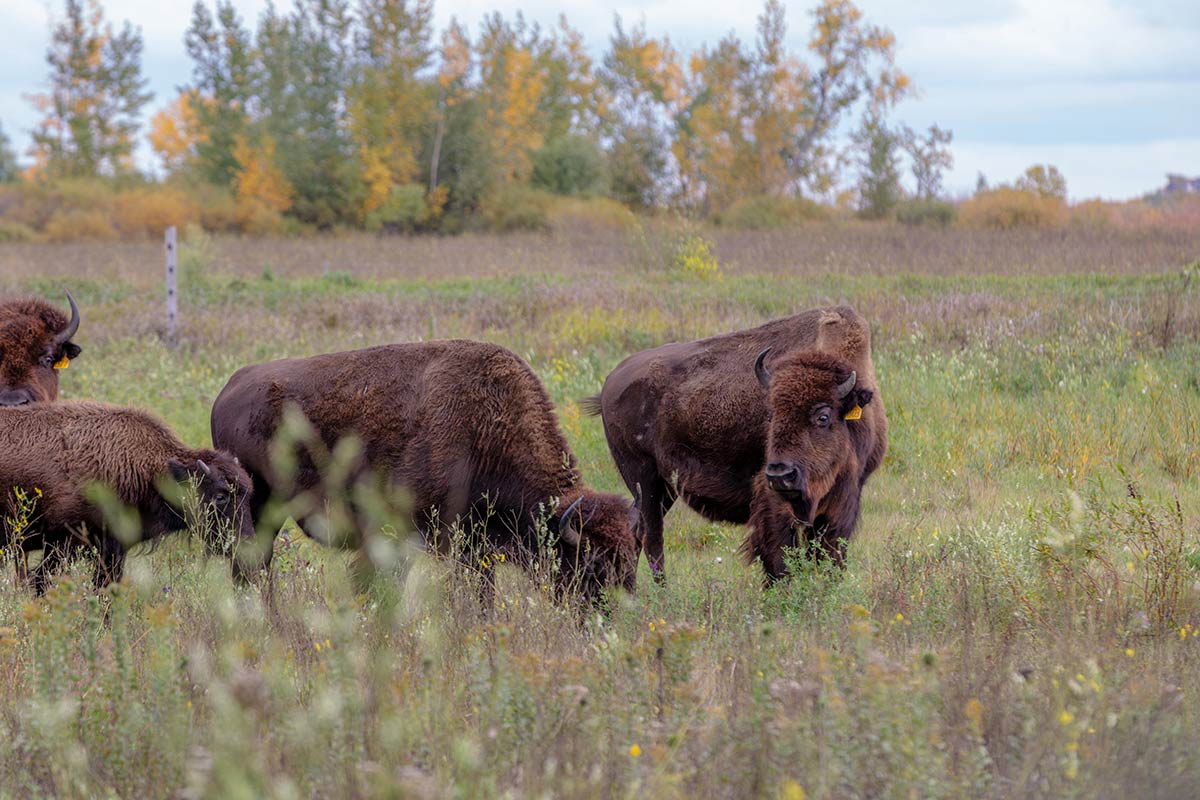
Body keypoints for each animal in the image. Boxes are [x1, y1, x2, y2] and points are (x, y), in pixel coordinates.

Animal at [0, 400, 253, 594]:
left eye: (248, 493)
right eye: (220, 496)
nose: (247, 544)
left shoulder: (112, 550)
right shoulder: (62, 545)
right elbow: (42, 583)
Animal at [213, 340, 648, 606]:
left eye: (630, 568)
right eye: (591, 567)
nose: (603, 620)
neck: (485, 428)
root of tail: (231, 387)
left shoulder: (476, 547)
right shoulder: (395, 535)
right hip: (257, 503)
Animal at [585, 307, 888, 582]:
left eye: (823, 417)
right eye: (771, 414)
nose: (781, 474)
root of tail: (611, 382)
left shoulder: (844, 502)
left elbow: (828, 560)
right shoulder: (773, 504)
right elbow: (781, 561)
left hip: (664, 487)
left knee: (636, 533)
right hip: (644, 477)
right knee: (652, 538)